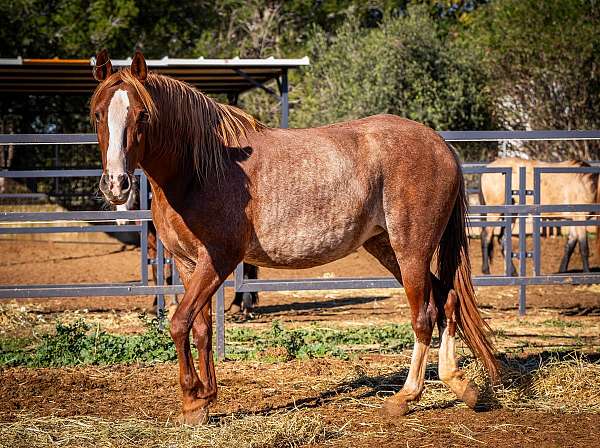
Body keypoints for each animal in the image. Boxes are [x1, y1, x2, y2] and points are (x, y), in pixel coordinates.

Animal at [91, 50, 500, 426]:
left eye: (142, 115)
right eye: (97, 114)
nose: (116, 185)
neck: (199, 170)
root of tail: (440, 145)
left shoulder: (219, 260)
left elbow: (178, 323)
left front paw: (193, 396)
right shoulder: (189, 263)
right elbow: (201, 328)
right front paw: (201, 402)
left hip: (411, 250)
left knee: (425, 315)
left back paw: (405, 398)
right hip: (386, 248)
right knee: (448, 301)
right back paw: (461, 385)